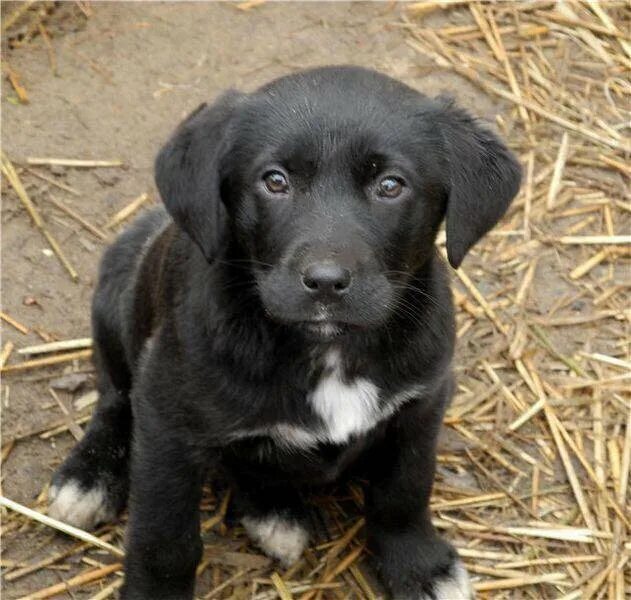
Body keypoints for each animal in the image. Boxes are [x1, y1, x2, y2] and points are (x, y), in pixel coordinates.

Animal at [49, 67, 520, 600]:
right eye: (275, 181)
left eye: (390, 185)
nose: (326, 281)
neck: (329, 348)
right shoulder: (166, 417)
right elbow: (165, 538)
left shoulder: (422, 401)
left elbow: (404, 489)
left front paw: (419, 566)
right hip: (118, 290)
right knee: (113, 398)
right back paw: (89, 476)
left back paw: (275, 512)